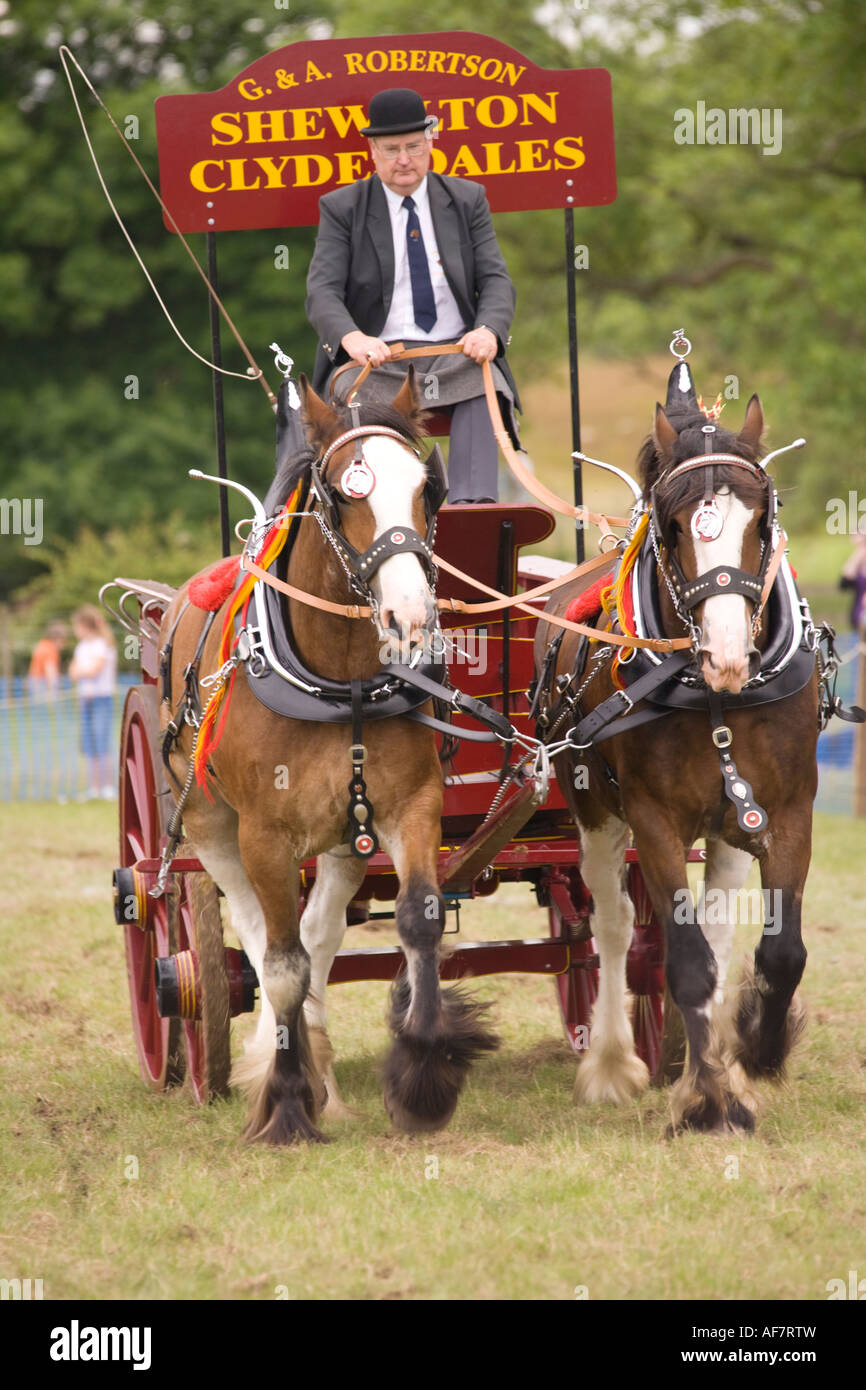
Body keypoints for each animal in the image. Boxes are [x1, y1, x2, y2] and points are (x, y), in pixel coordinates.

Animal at [159, 371, 496, 1145]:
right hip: (208, 822)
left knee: (320, 937)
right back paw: (274, 1061)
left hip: (348, 835)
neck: (340, 680)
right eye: (346, 492)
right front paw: (286, 1105)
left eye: (428, 488)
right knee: (259, 938)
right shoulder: (264, 835)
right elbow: (280, 964)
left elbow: (417, 921)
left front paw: (423, 1078)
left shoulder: (410, 807)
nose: (411, 617)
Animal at [533, 362, 819, 1133]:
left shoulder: (786, 812)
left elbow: (779, 953)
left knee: (714, 929)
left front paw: (755, 1051)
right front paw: (709, 1102)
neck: (715, 698)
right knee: (609, 928)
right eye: (672, 523)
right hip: (594, 812)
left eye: (763, 517)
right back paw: (610, 1062)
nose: (727, 653)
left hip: (725, 825)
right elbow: (682, 960)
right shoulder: (654, 820)